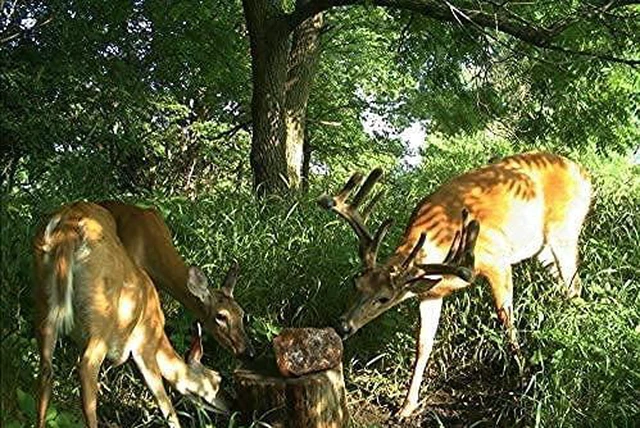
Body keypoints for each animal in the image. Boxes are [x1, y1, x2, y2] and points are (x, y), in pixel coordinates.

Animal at [33, 202, 232, 428]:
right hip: (101, 317)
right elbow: (164, 402)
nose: (232, 406)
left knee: (46, 370)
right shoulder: (145, 346)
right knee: (87, 369)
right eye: (217, 379)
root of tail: (68, 229)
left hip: (44, 302)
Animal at [318, 151, 592, 417]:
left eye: (384, 298)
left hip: (563, 231)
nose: (342, 325)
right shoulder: (431, 293)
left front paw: (523, 378)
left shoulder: (498, 260)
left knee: (573, 285)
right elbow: (424, 344)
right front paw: (406, 407)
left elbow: (507, 321)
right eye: (356, 282)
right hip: (544, 250)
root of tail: (584, 174)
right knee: (570, 287)